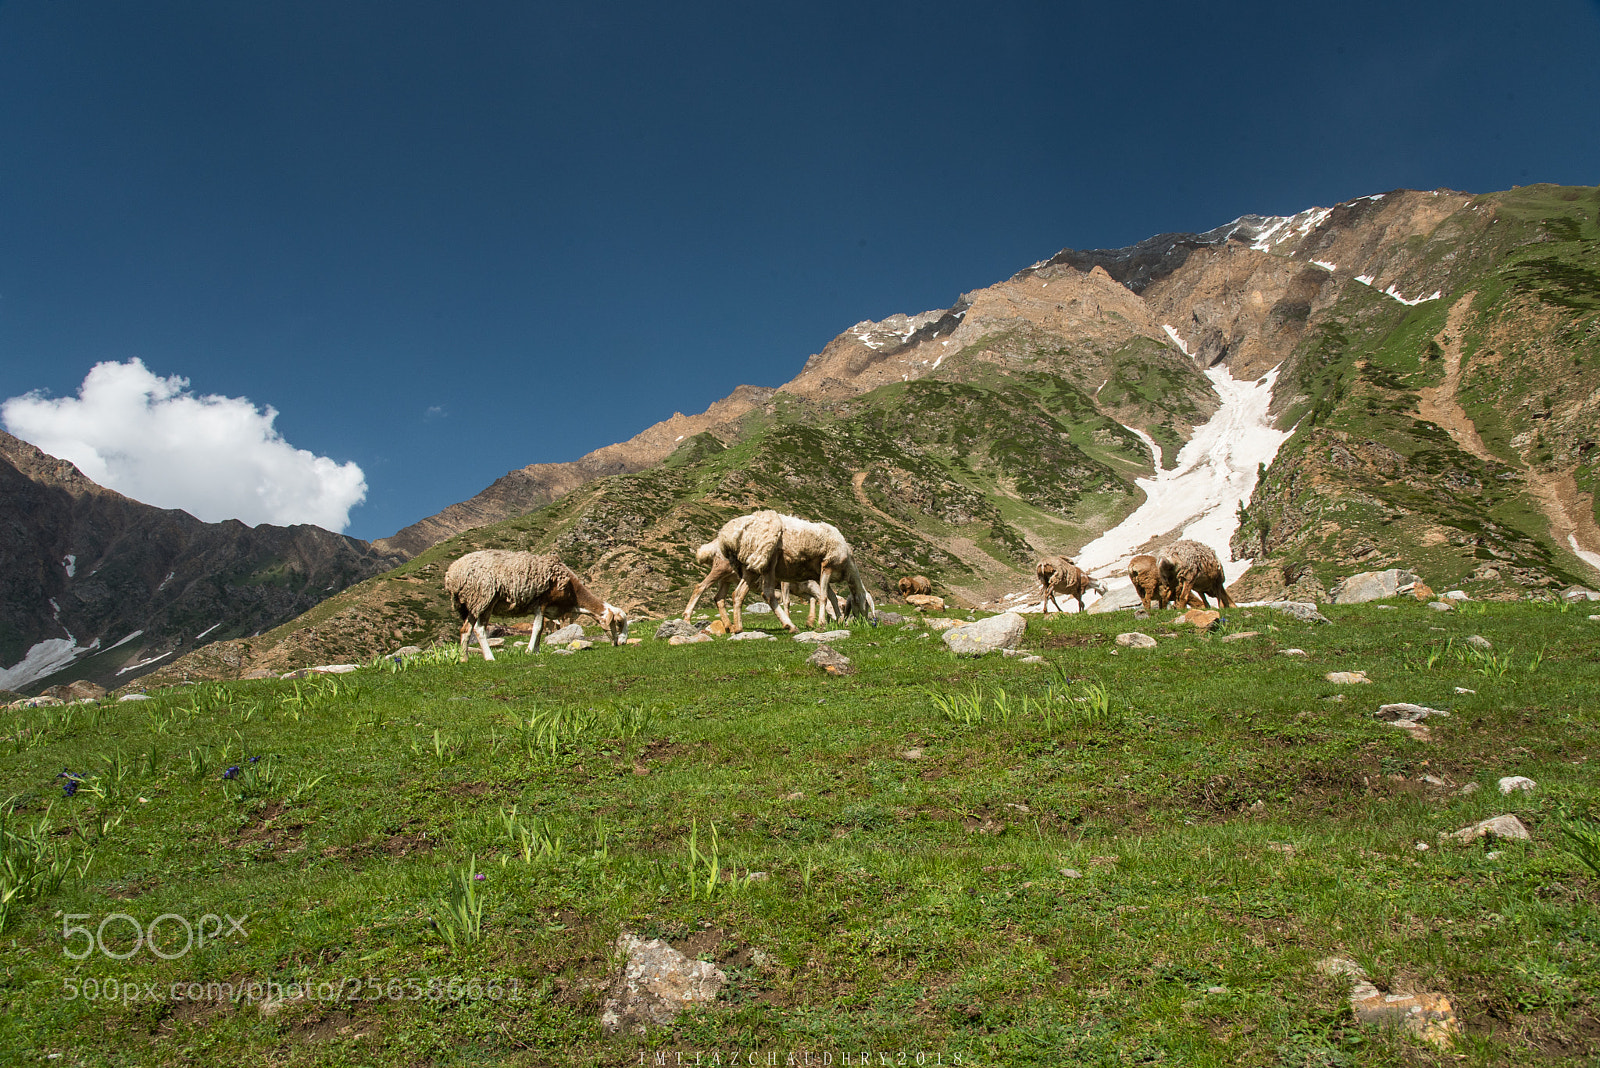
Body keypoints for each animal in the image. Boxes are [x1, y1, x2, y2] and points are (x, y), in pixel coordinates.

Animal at [444, 550, 629, 662]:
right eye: (618, 623)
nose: (623, 643)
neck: (574, 596)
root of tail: (453, 574)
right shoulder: (541, 603)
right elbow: (537, 628)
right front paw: (529, 650)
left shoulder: (547, 610)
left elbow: (541, 631)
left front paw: (537, 651)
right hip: (485, 598)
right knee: (479, 629)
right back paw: (490, 657)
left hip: (472, 604)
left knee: (465, 630)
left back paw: (464, 658)